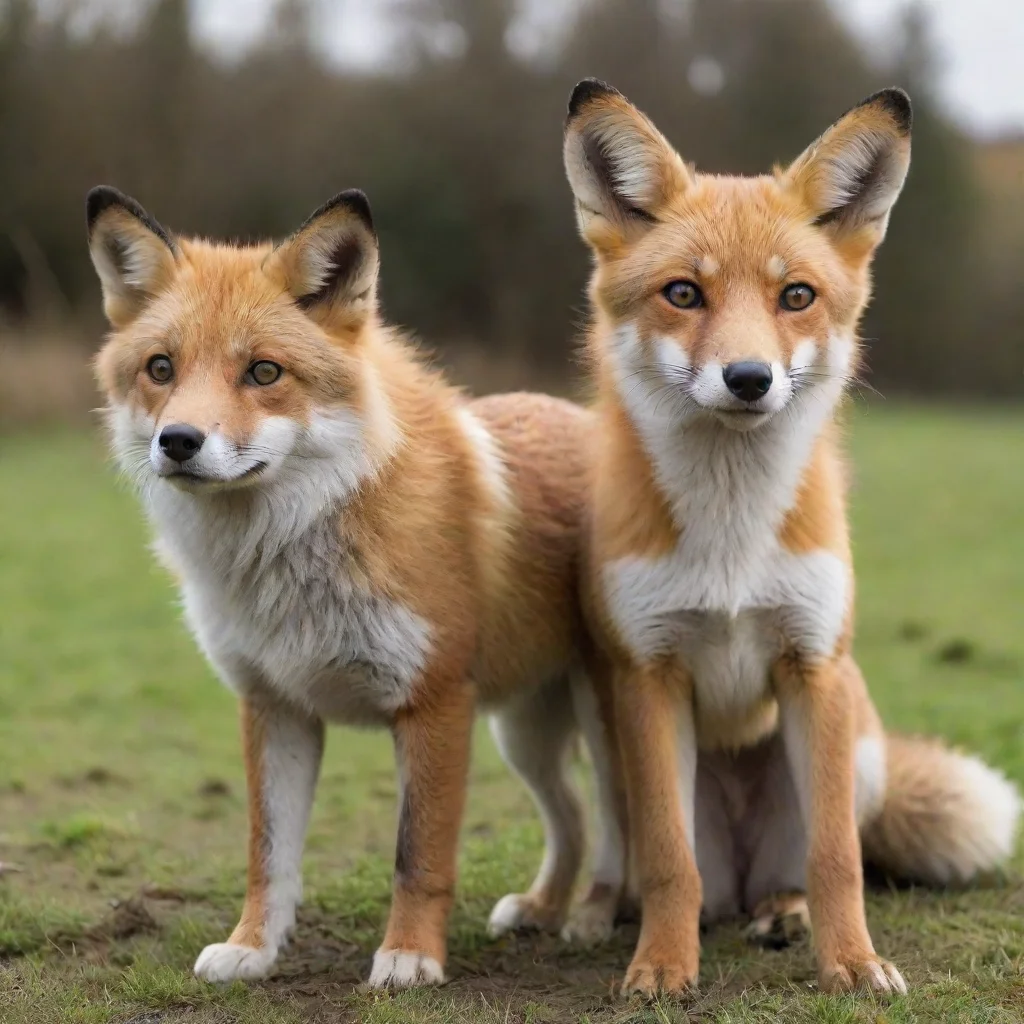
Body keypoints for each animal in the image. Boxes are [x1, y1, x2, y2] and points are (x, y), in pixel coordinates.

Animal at [85, 186, 618, 988]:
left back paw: (601, 916)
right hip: (524, 733)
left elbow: (417, 855)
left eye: (264, 373)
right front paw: (252, 948)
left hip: (603, 719)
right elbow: (267, 855)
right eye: (161, 367)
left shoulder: (433, 703)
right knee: (573, 818)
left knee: (626, 827)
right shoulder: (274, 705)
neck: (291, 560)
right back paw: (546, 909)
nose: (177, 442)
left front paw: (408, 958)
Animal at [560, 79, 1022, 997]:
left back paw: (785, 914)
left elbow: (838, 858)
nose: (749, 378)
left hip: (859, 743)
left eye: (796, 296)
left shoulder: (816, 664)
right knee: (662, 871)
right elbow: (667, 862)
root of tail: (741, 880)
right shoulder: (649, 675)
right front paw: (662, 967)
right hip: (611, 747)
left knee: (798, 870)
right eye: (684, 294)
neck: (732, 537)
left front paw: (854, 964)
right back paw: (612, 917)